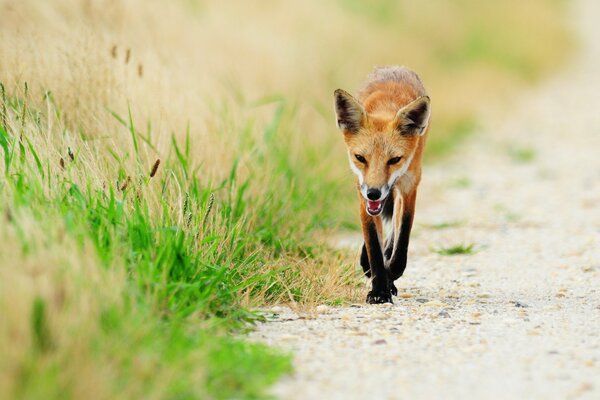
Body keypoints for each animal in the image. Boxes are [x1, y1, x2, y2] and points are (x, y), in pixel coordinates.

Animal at [332, 66, 432, 304]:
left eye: (394, 159)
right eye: (360, 157)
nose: (374, 193)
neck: (387, 105)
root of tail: (395, 67)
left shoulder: (410, 186)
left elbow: (401, 238)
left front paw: (390, 275)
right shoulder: (361, 190)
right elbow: (373, 246)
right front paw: (379, 290)